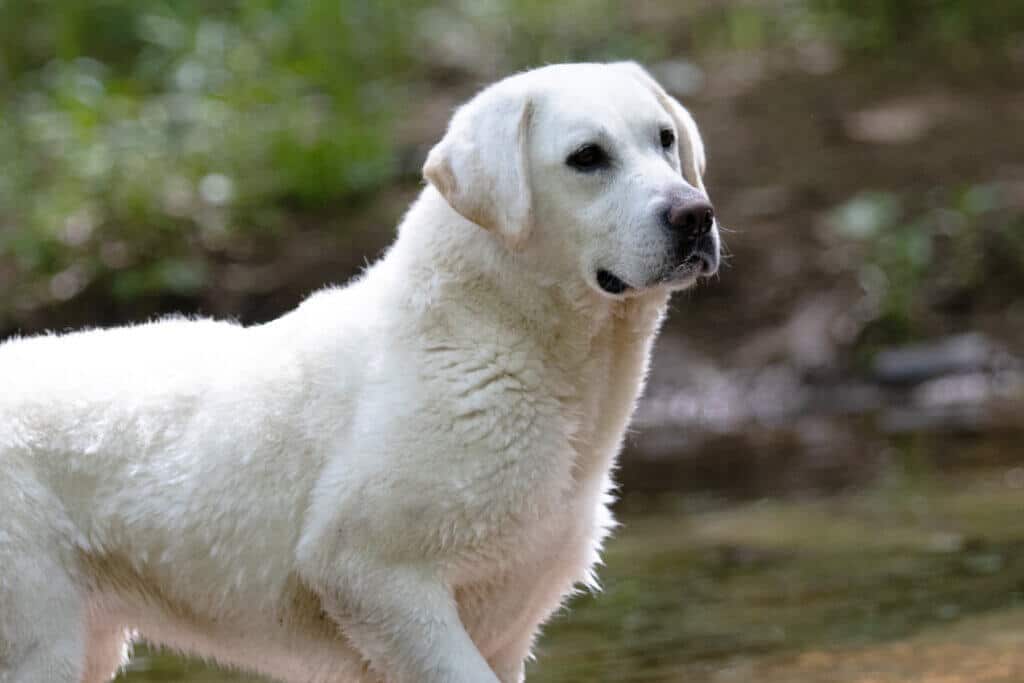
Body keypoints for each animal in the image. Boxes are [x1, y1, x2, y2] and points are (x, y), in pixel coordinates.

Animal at [0, 61, 716, 679]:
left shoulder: (506, 628)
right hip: (38, 638)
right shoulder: (372, 575)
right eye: (587, 157)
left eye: (665, 139)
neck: (493, 334)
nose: (695, 216)